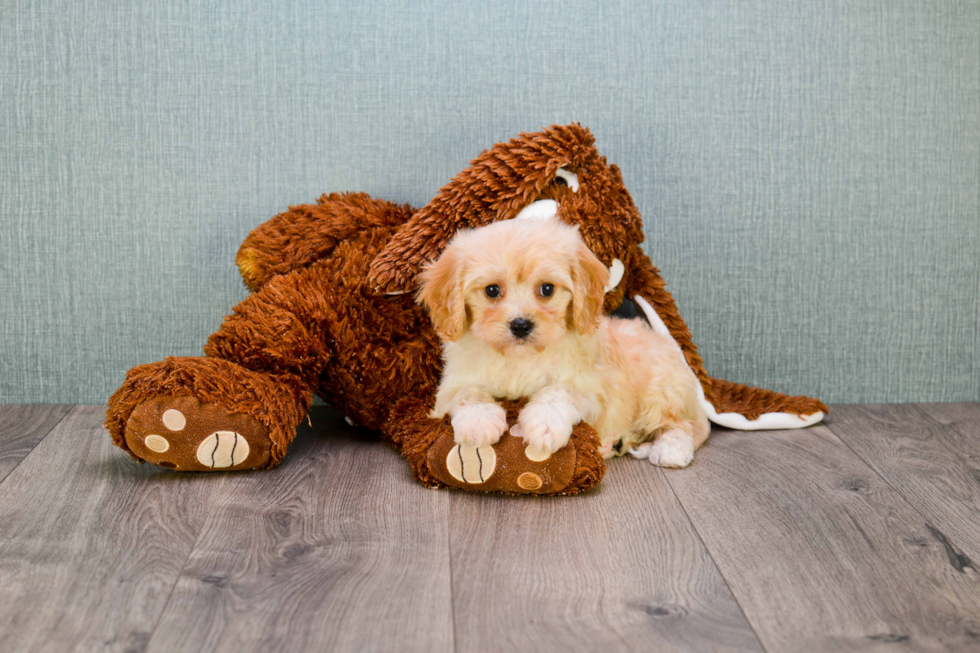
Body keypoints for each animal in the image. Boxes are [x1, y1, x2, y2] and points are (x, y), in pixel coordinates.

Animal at [418, 219, 708, 468]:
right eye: (492, 290)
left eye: (547, 289)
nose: (521, 325)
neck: (519, 358)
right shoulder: (452, 384)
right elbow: (467, 393)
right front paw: (479, 422)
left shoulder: (590, 387)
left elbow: (559, 391)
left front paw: (544, 425)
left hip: (661, 392)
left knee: (686, 425)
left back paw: (670, 449)